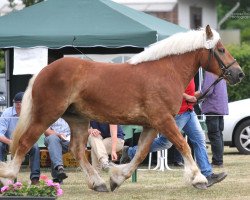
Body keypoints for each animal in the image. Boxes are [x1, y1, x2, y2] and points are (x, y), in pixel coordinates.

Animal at [0, 25, 243, 192]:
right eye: (221, 49)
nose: (239, 74)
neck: (165, 71)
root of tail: (43, 72)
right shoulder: (164, 120)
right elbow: (184, 145)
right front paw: (199, 179)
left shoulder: (152, 125)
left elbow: (141, 152)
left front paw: (116, 178)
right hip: (46, 115)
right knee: (24, 143)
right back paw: (8, 177)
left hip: (78, 120)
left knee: (77, 150)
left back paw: (97, 183)